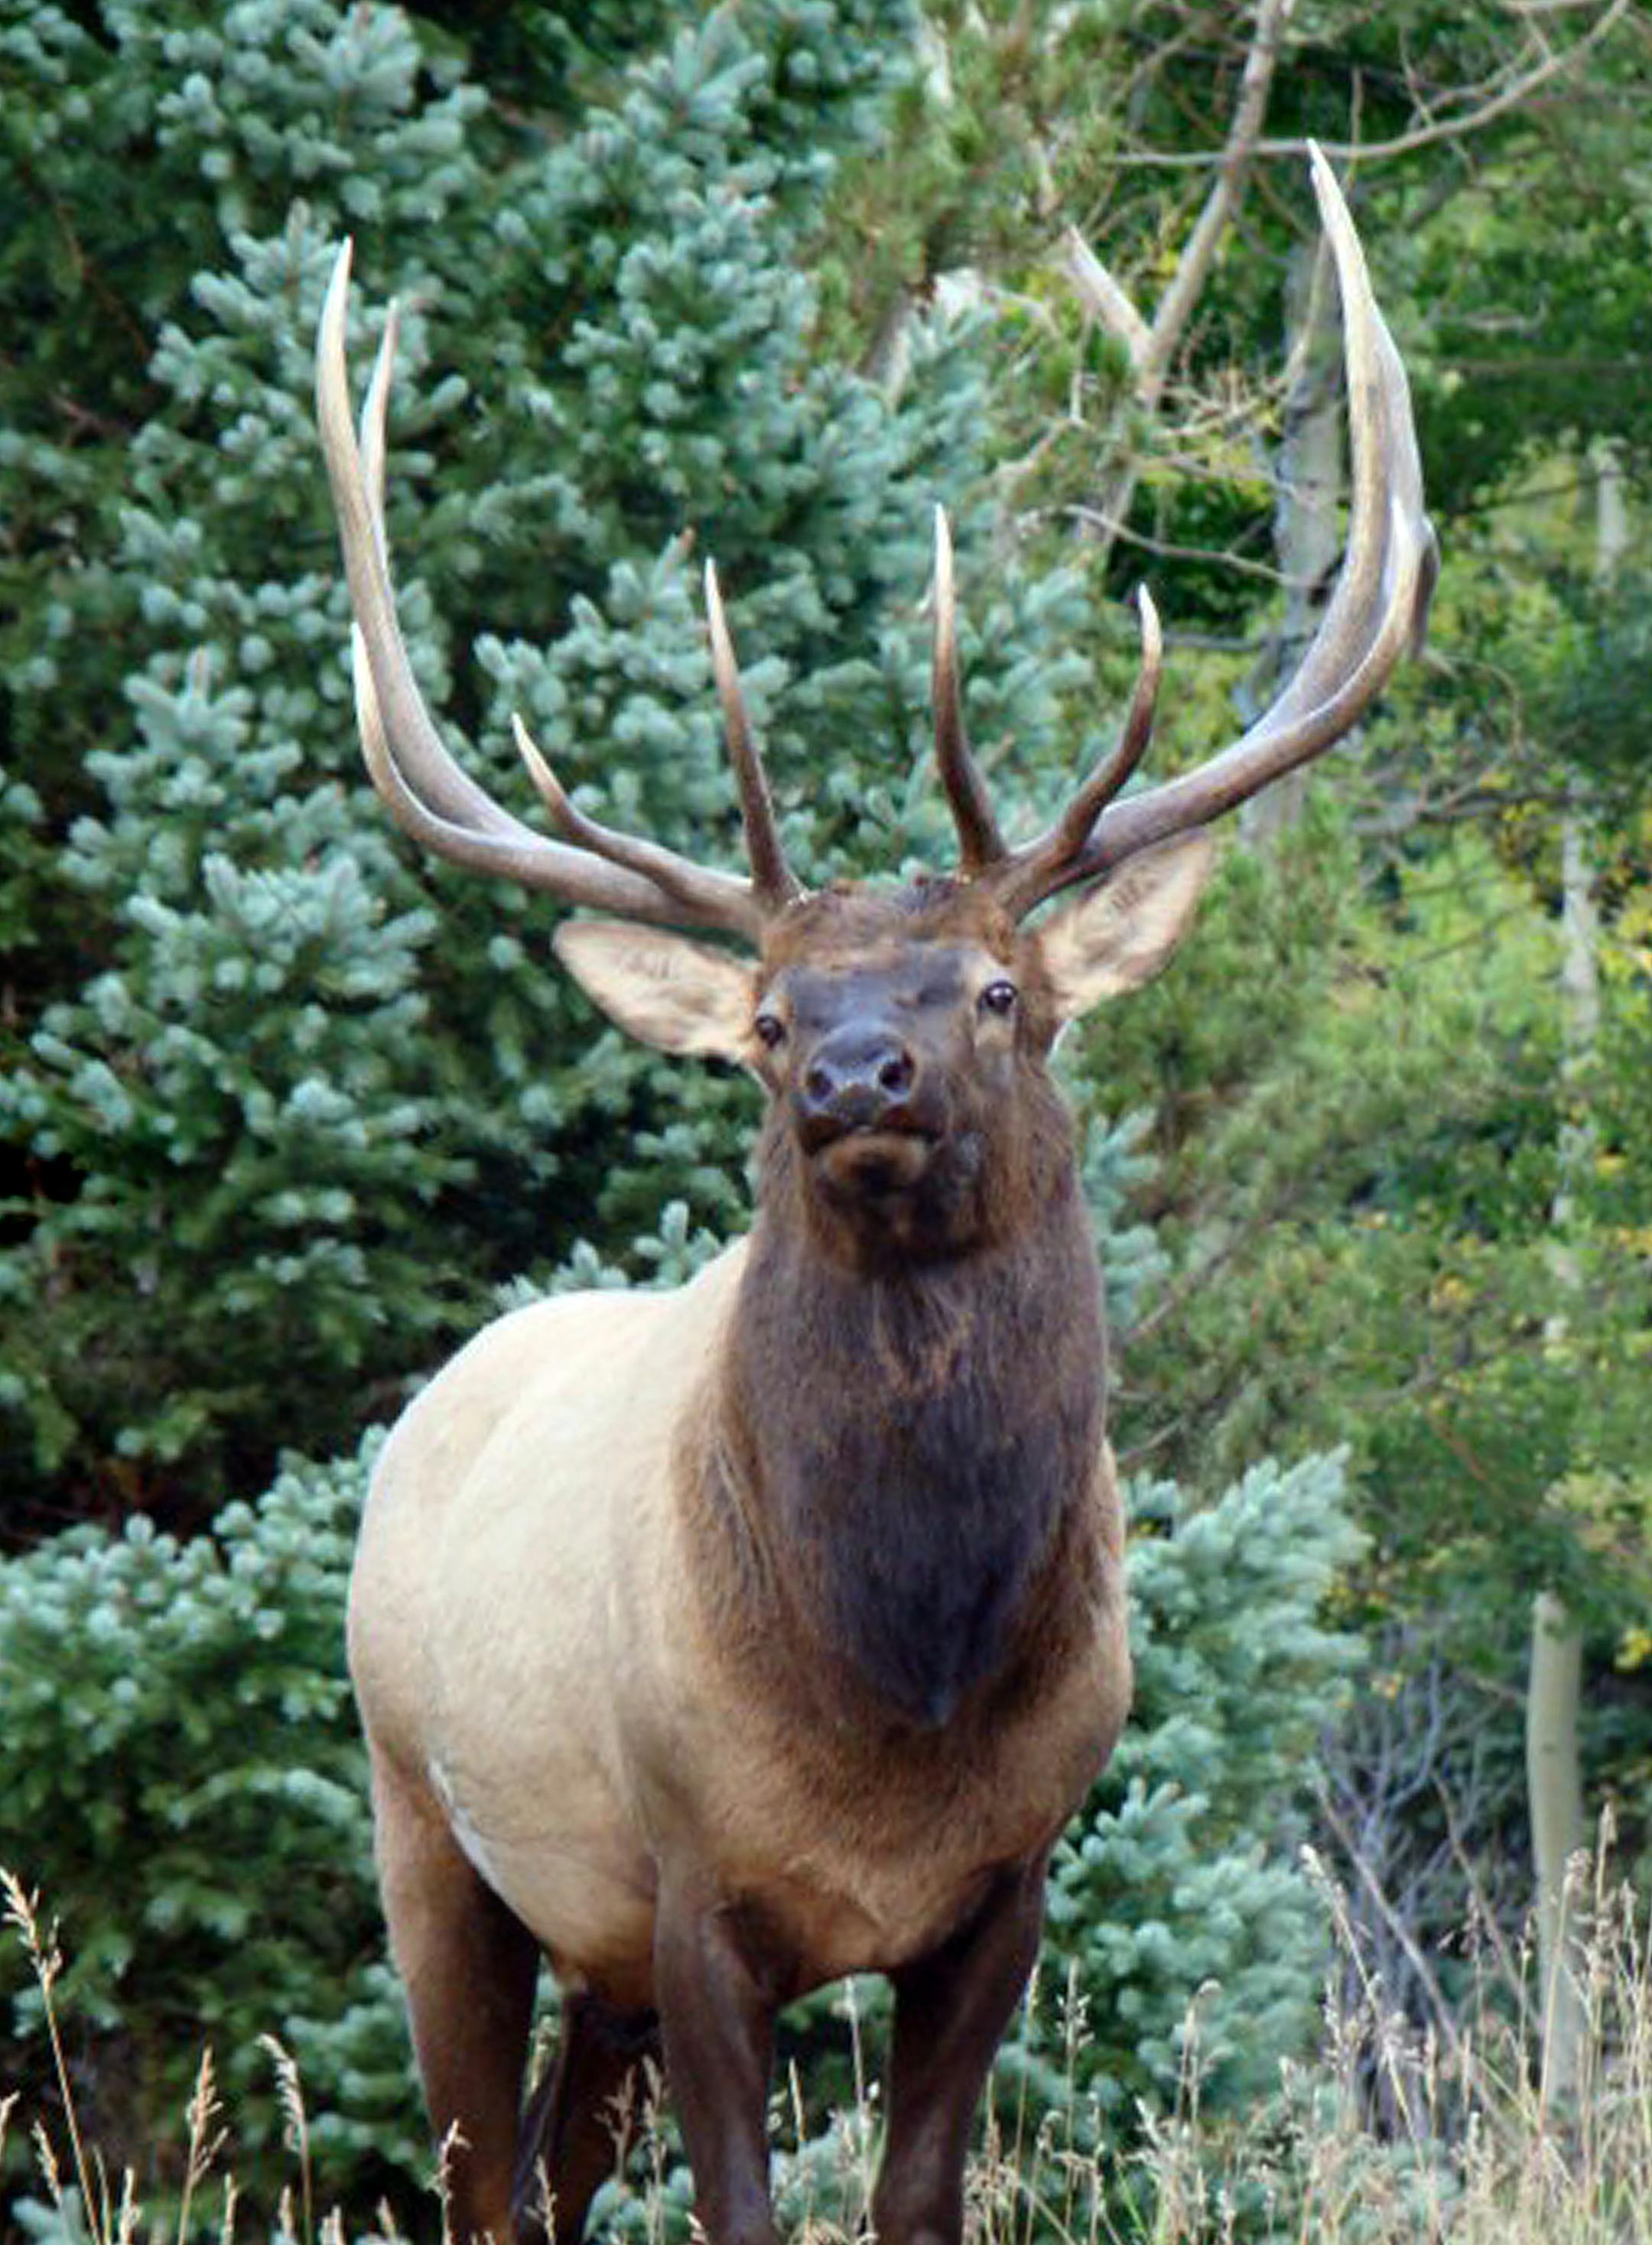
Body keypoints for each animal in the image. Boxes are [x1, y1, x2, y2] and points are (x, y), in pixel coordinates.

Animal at [315, 147, 1434, 2245]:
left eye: (996, 989)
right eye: (763, 1020)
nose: (851, 1075)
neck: (899, 1692)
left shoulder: (1007, 1891)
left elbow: (918, 2200)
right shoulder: (687, 1884)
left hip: (577, 1950)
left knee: (552, 2177)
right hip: (429, 1827)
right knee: (483, 2180)